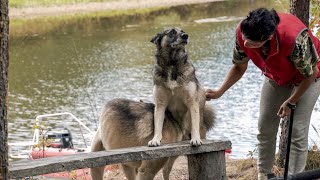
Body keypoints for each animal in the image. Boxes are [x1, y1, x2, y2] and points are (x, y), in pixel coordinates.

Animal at [90, 27, 215, 180]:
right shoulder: (160, 104)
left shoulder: (191, 102)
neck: (172, 65)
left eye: (182, 31)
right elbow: (158, 126)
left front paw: (195, 138)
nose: (186, 36)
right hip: (101, 166)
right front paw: (156, 139)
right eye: (172, 32)